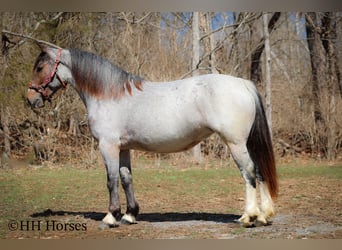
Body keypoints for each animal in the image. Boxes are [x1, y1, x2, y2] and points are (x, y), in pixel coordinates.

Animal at [26, 43, 278, 229]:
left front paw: (111, 217)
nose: (30, 99)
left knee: (249, 173)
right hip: (246, 144)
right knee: (260, 171)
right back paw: (264, 215)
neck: (109, 94)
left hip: (235, 144)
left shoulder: (108, 146)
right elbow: (126, 178)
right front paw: (129, 215)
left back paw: (248, 217)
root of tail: (243, 84)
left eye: (39, 67)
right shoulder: (123, 147)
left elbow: (111, 180)